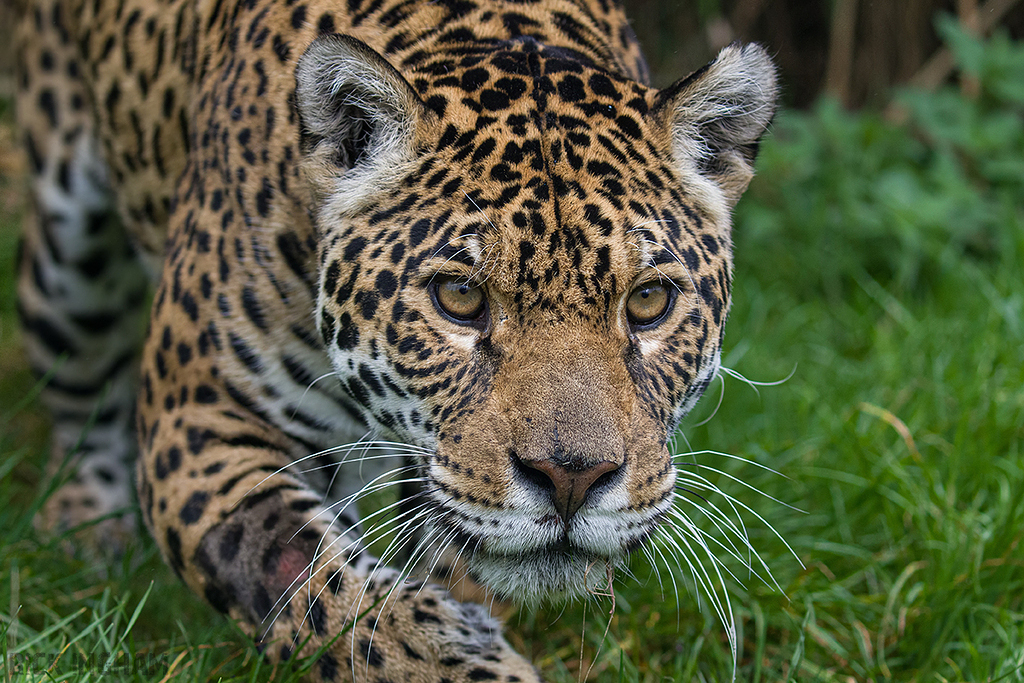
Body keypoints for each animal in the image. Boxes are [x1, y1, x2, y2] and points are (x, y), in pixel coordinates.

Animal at [13, 0, 778, 677]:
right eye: (459, 297)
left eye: (648, 301)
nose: (572, 479)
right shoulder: (200, 417)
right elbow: (321, 589)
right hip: (65, 263)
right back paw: (87, 525)